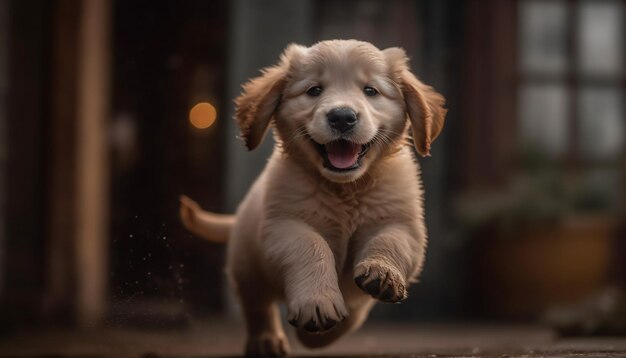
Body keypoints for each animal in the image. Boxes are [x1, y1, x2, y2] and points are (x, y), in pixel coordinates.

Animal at [178, 39, 446, 356]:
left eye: (371, 91)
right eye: (314, 90)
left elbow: (390, 240)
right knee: (257, 306)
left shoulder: (403, 223)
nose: (342, 116)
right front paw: (317, 305)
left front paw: (382, 273)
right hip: (247, 266)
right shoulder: (284, 226)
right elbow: (311, 246)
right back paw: (266, 341)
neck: (345, 190)